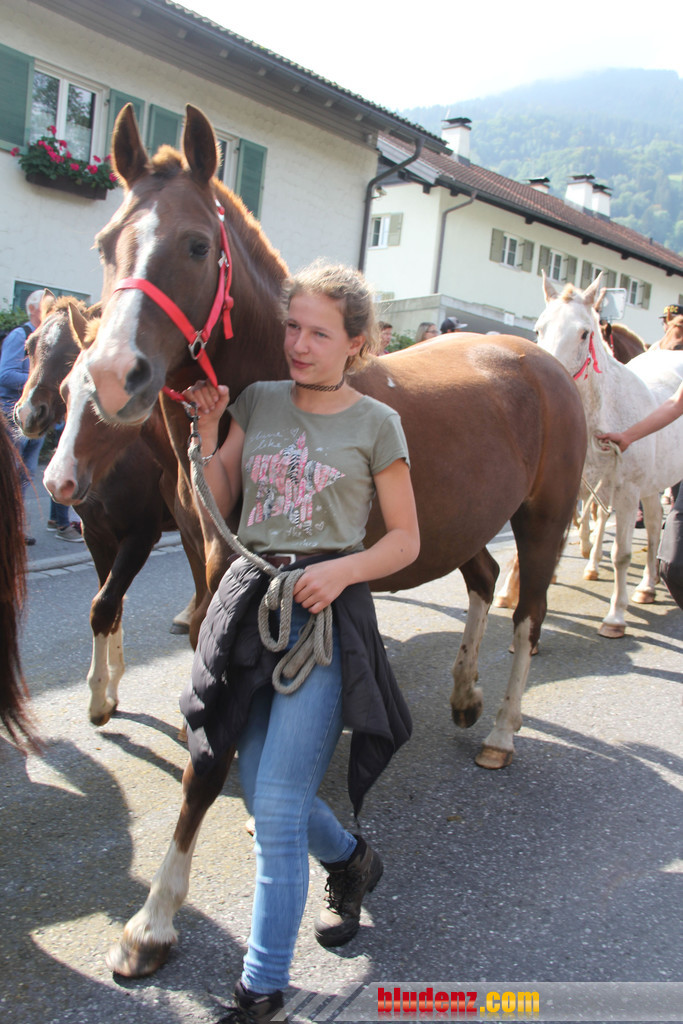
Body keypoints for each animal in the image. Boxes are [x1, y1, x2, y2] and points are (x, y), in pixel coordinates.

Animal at [15, 297, 205, 725]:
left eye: (72, 353)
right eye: (29, 346)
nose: (28, 414)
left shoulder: (140, 536)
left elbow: (104, 604)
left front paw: (100, 697)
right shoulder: (97, 535)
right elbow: (110, 601)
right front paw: (113, 685)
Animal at [61, 103, 586, 976]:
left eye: (196, 245)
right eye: (106, 244)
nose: (112, 377)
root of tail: (535, 357)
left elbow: (214, 760)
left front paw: (153, 921)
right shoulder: (222, 573)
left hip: (542, 521)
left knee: (527, 616)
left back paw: (502, 729)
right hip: (460, 527)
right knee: (483, 582)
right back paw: (464, 693)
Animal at [535, 272, 683, 637]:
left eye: (584, 333)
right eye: (539, 328)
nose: (550, 379)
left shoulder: (627, 491)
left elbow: (621, 554)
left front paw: (615, 616)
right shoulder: (578, 485)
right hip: (649, 485)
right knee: (655, 526)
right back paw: (647, 587)